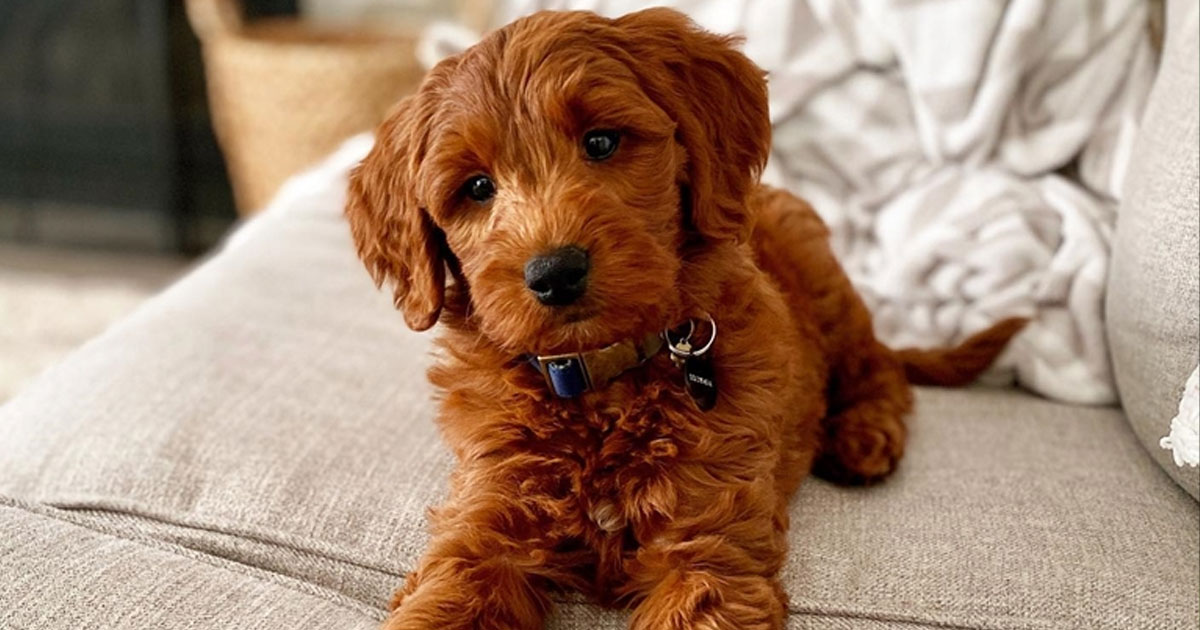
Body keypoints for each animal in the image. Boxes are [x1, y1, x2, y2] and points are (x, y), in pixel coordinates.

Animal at [345, 7, 1022, 624]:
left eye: (601, 141)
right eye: (477, 188)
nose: (555, 273)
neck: (603, 380)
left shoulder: (708, 542)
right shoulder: (488, 518)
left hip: (825, 281)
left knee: (878, 363)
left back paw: (863, 435)